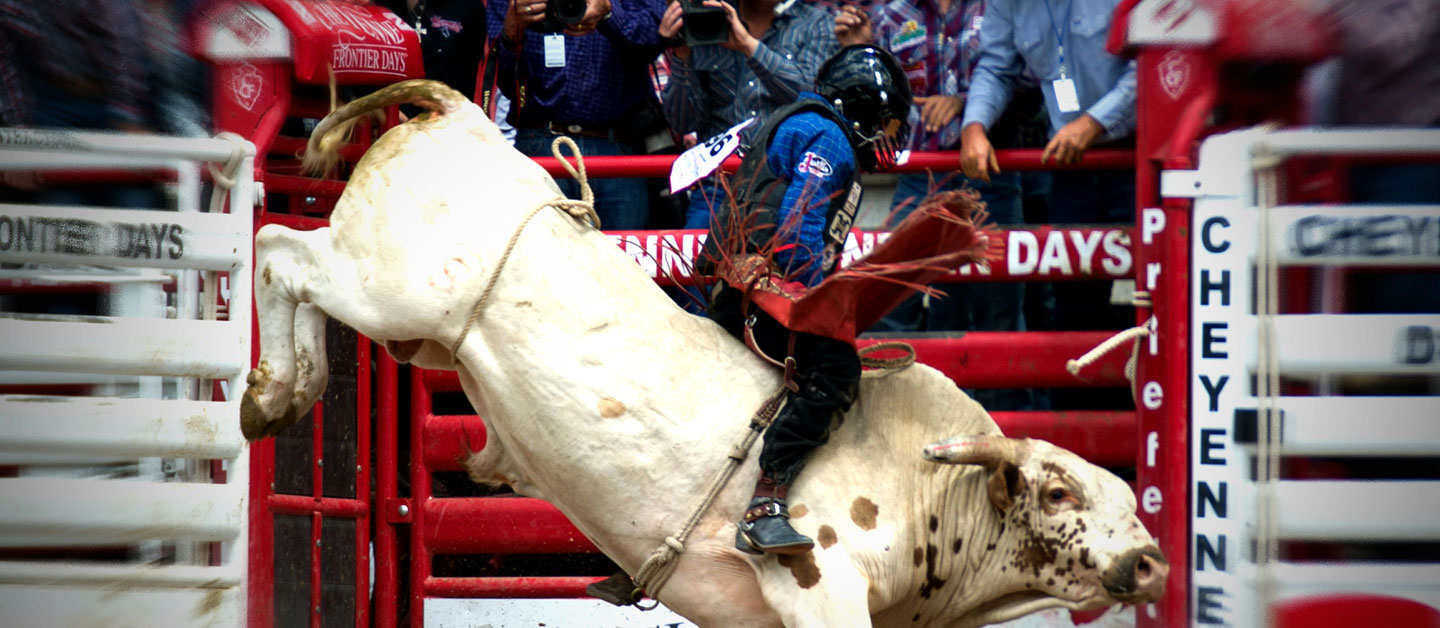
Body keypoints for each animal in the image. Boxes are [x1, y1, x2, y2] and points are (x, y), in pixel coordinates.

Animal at [241, 79, 1163, 628]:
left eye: (1128, 491)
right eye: (1057, 490)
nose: (1152, 562)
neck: (924, 479)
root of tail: (457, 111)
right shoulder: (821, 594)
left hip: (419, 336)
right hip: (382, 285)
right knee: (280, 252)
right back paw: (273, 393)